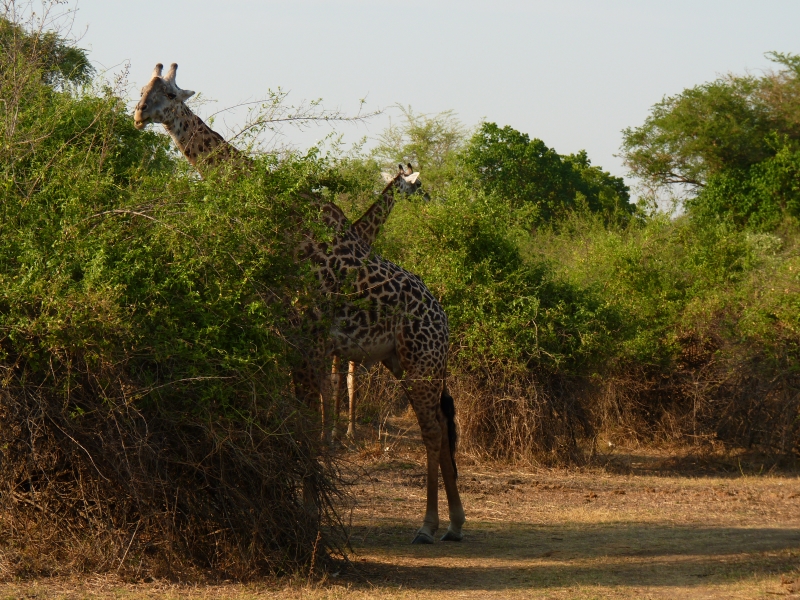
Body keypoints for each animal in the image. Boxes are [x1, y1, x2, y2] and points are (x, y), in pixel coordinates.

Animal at [134, 64, 463, 544]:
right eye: (144, 88)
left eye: (171, 94)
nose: (139, 114)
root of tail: (444, 320)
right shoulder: (293, 343)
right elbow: (303, 418)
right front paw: (309, 510)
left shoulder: (308, 340)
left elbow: (309, 419)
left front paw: (310, 513)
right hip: (402, 361)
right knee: (440, 423)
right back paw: (455, 522)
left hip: (422, 362)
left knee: (434, 430)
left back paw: (428, 525)